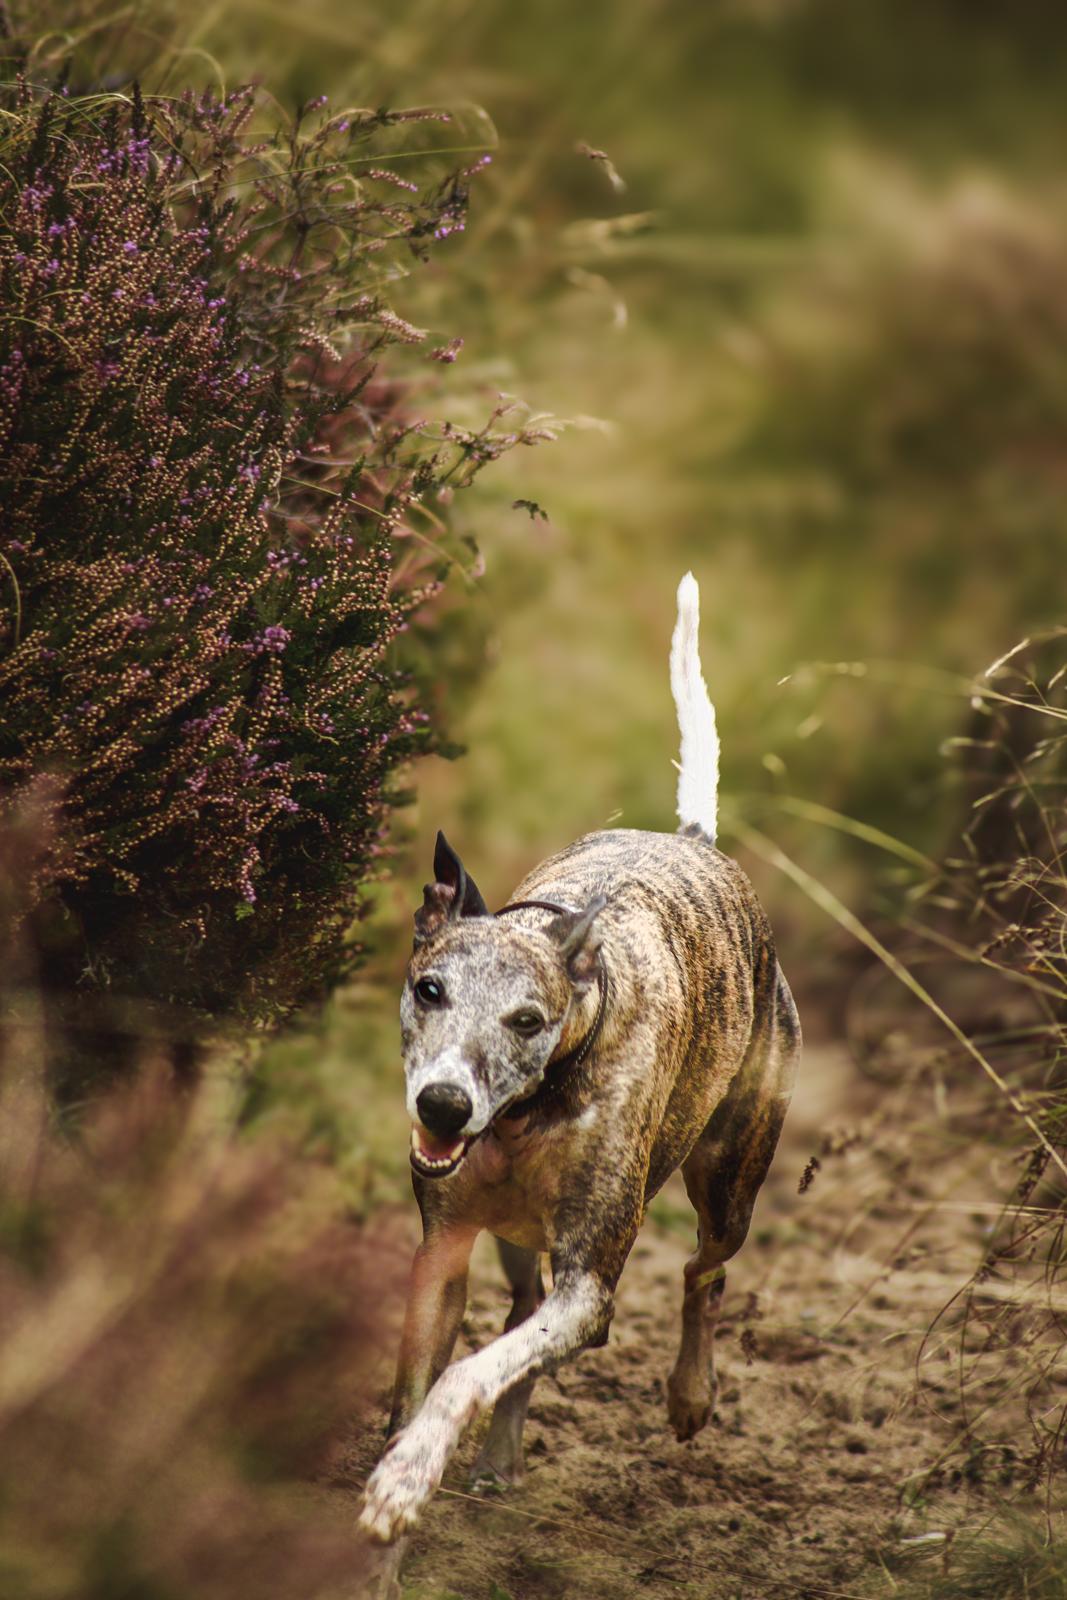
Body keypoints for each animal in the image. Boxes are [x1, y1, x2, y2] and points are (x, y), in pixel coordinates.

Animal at [358, 572, 799, 1548]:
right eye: (429, 989)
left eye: (527, 1019)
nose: (443, 1106)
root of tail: (695, 842)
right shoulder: (442, 1250)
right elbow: (429, 1377)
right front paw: (397, 1488)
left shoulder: (590, 1284)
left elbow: (468, 1373)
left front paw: (406, 1478)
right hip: (521, 1238)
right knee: (525, 1311)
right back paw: (499, 1454)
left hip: (728, 1177)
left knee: (704, 1272)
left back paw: (688, 1393)